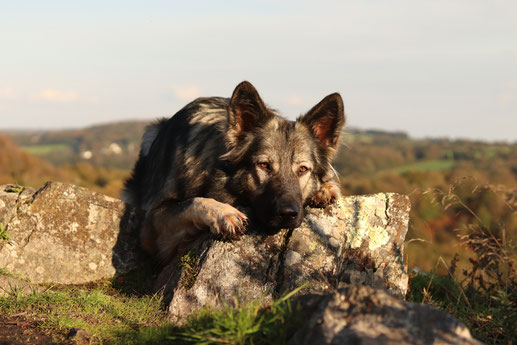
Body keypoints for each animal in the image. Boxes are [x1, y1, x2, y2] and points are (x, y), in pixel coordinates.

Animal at [123, 81, 344, 260]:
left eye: (303, 169)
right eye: (264, 165)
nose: (288, 214)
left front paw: (325, 188)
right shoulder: (153, 226)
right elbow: (191, 202)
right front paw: (223, 212)